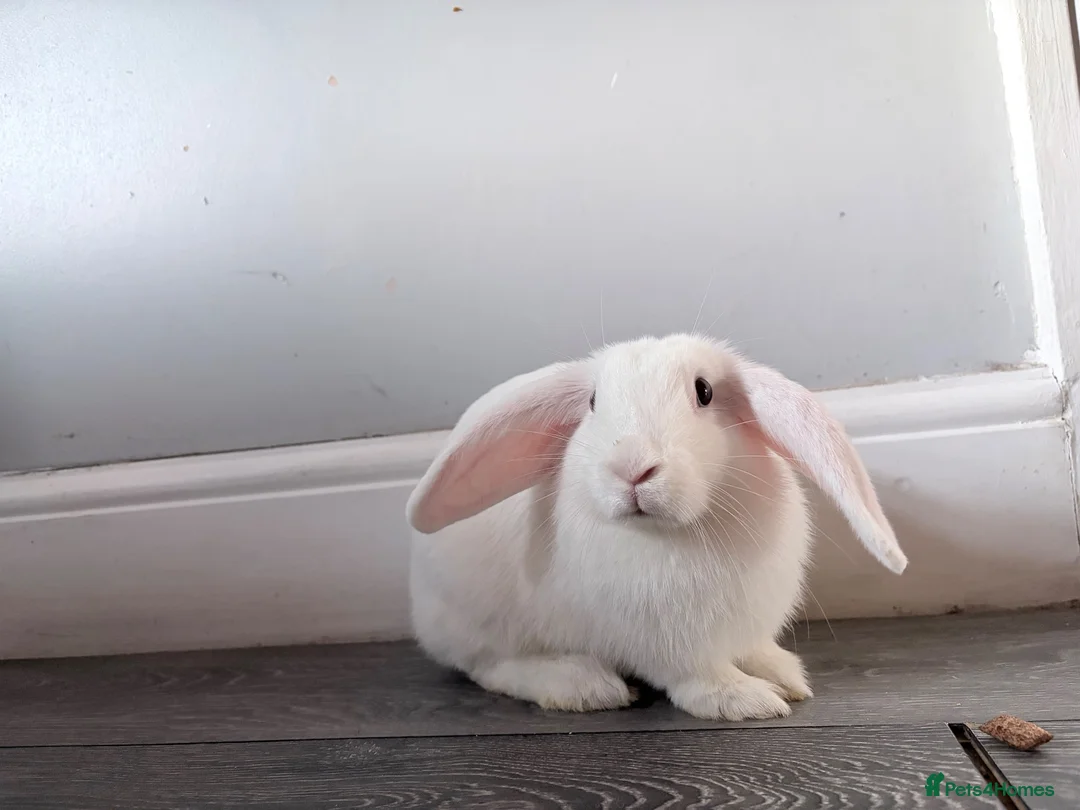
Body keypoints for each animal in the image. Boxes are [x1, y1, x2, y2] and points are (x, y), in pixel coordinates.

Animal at [405, 333, 906, 721]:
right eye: (592, 402)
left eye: (704, 391)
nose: (632, 467)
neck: (671, 534)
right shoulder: (666, 646)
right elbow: (698, 677)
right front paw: (746, 700)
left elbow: (753, 650)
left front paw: (784, 674)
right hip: (484, 622)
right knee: (490, 667)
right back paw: (583, 685)